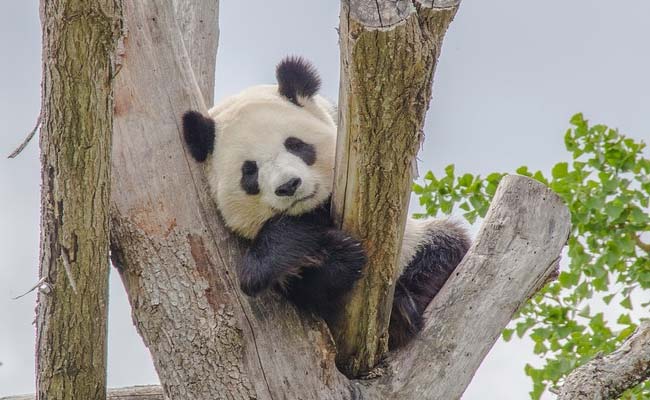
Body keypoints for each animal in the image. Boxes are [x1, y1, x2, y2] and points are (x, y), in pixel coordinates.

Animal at [182, 56, 470, 349]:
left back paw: (400, 314)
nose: (289, 185)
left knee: (443, 248)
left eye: (295, 145)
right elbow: (298, 284)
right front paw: (336, 255)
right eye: (249, 171)